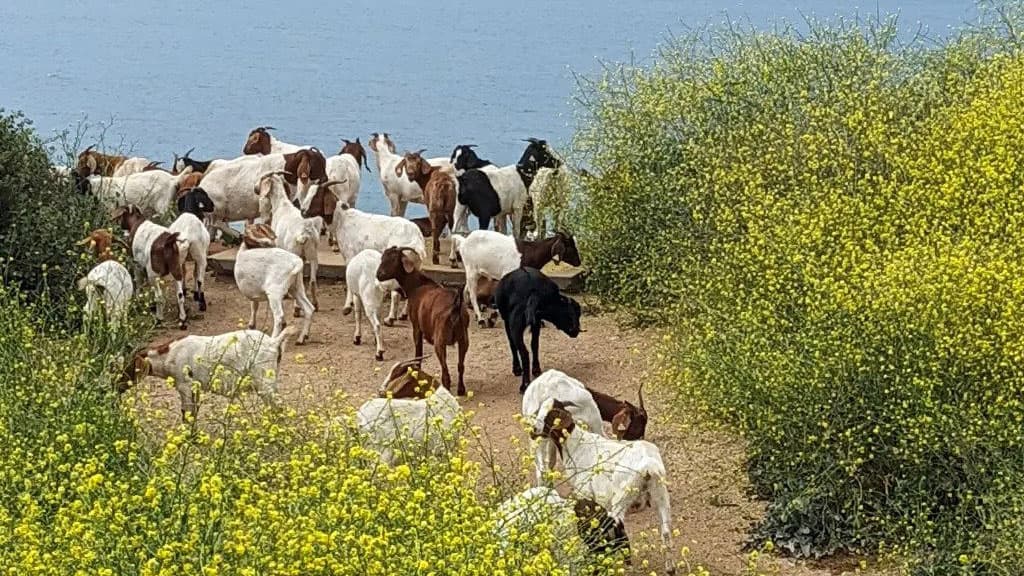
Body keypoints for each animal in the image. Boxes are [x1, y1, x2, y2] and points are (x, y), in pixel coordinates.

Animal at [124, 325, 299, 420]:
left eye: (128, 367)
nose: (117, 386)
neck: (169, 356)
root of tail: (274, 342)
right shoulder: (195, 387)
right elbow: (193, 412)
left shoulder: (184, 384)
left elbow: (186, 413)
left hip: (264, 382)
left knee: (279, 406)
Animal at [378, 243, 468, 391]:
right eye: (383, 257)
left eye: (393, 259)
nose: (379, 274)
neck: (417, 285)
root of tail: (455, 308)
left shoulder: (416, 327)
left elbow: (418, 350)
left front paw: (417, 371)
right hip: (463, 339)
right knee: (461, 366)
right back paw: (461, 390)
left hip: (440, 340)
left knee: (445, 372)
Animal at [532, 399, 675, 573]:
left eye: (551, 416)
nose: (533, 430)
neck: (575, 445)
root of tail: (649, 465)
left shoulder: (585, 493)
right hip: (660, 493)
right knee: (666, 531)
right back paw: (670, 568)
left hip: (621, 495)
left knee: (617, 525)